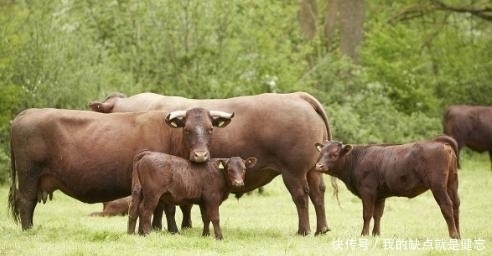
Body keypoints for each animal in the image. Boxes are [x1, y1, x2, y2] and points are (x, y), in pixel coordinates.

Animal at [8, 106, 234, 230]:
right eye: (187, 129)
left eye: (210, 129)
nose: (200, 155)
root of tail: (25, 114)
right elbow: (165, 208)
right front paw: (168, 230)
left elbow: (161, 208)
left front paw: (158, 229)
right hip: (29, 175)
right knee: (26, 202)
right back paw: (28, 230)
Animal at [127, 151, 258, 239]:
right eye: (230, 169)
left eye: (244, 169)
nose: (238, 183)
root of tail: (147, 154)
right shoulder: (212, 199)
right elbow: (215, 217)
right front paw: (219, 237)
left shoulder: (203, 202)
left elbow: (206, 218)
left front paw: (205, 235)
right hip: (152, 194)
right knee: (145, 210)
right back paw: (148, 234)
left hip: (138, 191)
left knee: (134, 210)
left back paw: (133, 234)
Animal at [316, 135, 462, 239]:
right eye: (321, 153)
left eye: (334, 155)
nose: (319, 166)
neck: (357, 159)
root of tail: (440, 142)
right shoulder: (380, 195)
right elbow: (377, 215)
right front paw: (376, 234)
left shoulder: (367, 192)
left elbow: (367, 214)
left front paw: (364, 234)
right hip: (452, 183)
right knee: (456, 205)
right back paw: (459, 234)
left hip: (438, 185)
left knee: (447, 205)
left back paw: (453, 235)